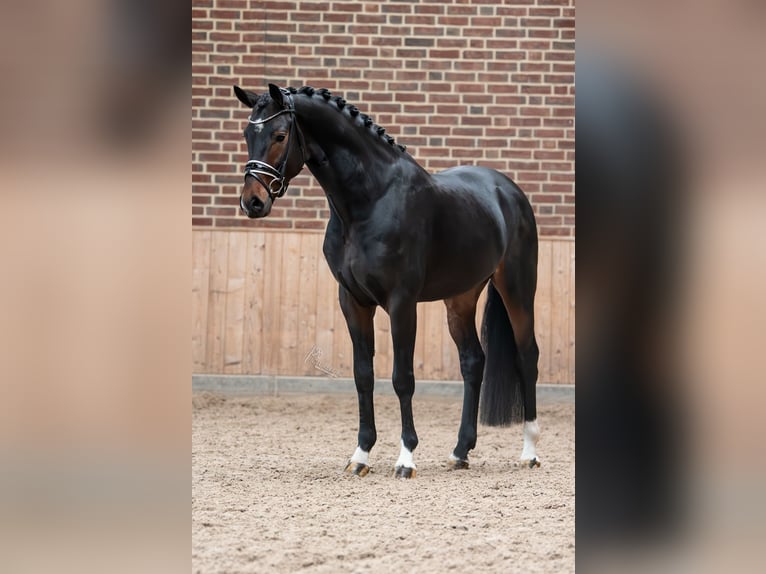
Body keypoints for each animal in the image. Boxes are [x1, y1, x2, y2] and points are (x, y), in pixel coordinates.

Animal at [236, 84, 544, 482]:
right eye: (247, 134)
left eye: (279, 135)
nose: (252, 202)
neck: (370, 201)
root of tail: (509, 191)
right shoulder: (352, 301)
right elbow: (363, 375)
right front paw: (361, 455)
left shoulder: (401, 303)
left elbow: (402, 378)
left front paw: (406, 458)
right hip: (460, 299)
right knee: (473, 361)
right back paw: (460, 451)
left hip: (517, 288)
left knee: (527, 356)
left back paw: (529, 451)